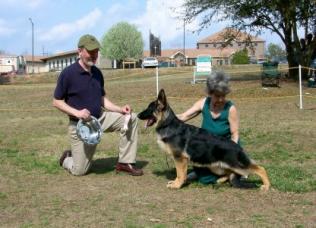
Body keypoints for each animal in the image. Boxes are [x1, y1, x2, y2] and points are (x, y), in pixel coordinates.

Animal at [137, 89, 270, 191]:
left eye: (149, 109)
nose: (137, 115)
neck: (167, 124)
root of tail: (237, 146)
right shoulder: (179, 160)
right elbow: (179, 173)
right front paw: (175, 182)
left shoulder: (180, 159)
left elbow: (180, 174)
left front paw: (177, 185)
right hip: (217, 166)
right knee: (229, 173)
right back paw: (220, 179)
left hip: (237, 165)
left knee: (260, 169)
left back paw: (266, 186)